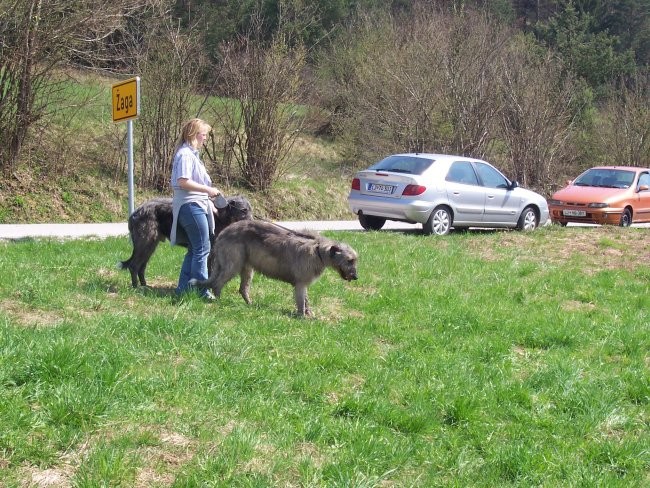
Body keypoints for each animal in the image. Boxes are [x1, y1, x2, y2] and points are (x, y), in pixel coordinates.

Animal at [117, 193, 252, 286]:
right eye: (243, 210)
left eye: (251, 209)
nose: (252, 223)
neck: (221, 216)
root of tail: (135, 212)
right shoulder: (210, 250)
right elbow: (209, 270)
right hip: (144, 241)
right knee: (134, 265)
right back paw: (136, 287)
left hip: (150, 245)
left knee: (142, 266)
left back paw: (145, 285)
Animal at [190, 220, 356, 316]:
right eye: (349, 260)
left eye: (355, 260)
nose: (356, 277)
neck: (318, 250)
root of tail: (223, 233)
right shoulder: (300, 283)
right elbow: (301, 300)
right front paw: (303, 316)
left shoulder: (303, 282)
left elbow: (306, 299)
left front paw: (309, 313)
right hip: (233, 262)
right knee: (218, 283)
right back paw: (218, 301)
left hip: (247, 267)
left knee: (243, 288)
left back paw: (250, 305)